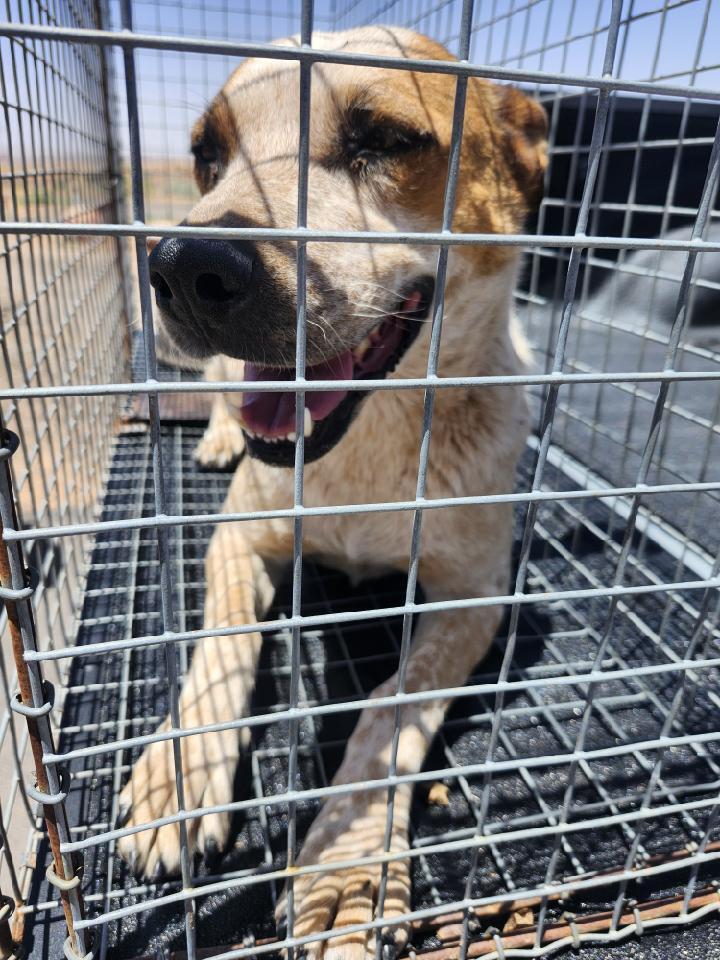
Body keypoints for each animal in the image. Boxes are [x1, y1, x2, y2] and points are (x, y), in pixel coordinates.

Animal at [118, 28, 544, 960]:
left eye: (382, 138)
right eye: (206, 155)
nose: (187, 264)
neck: (365, 454)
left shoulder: (478, 597)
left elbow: (391, 706)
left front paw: (347, 865)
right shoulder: (239, 539)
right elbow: (224, 643)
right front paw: (181, 772)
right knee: (218, 389)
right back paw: (217, 434)